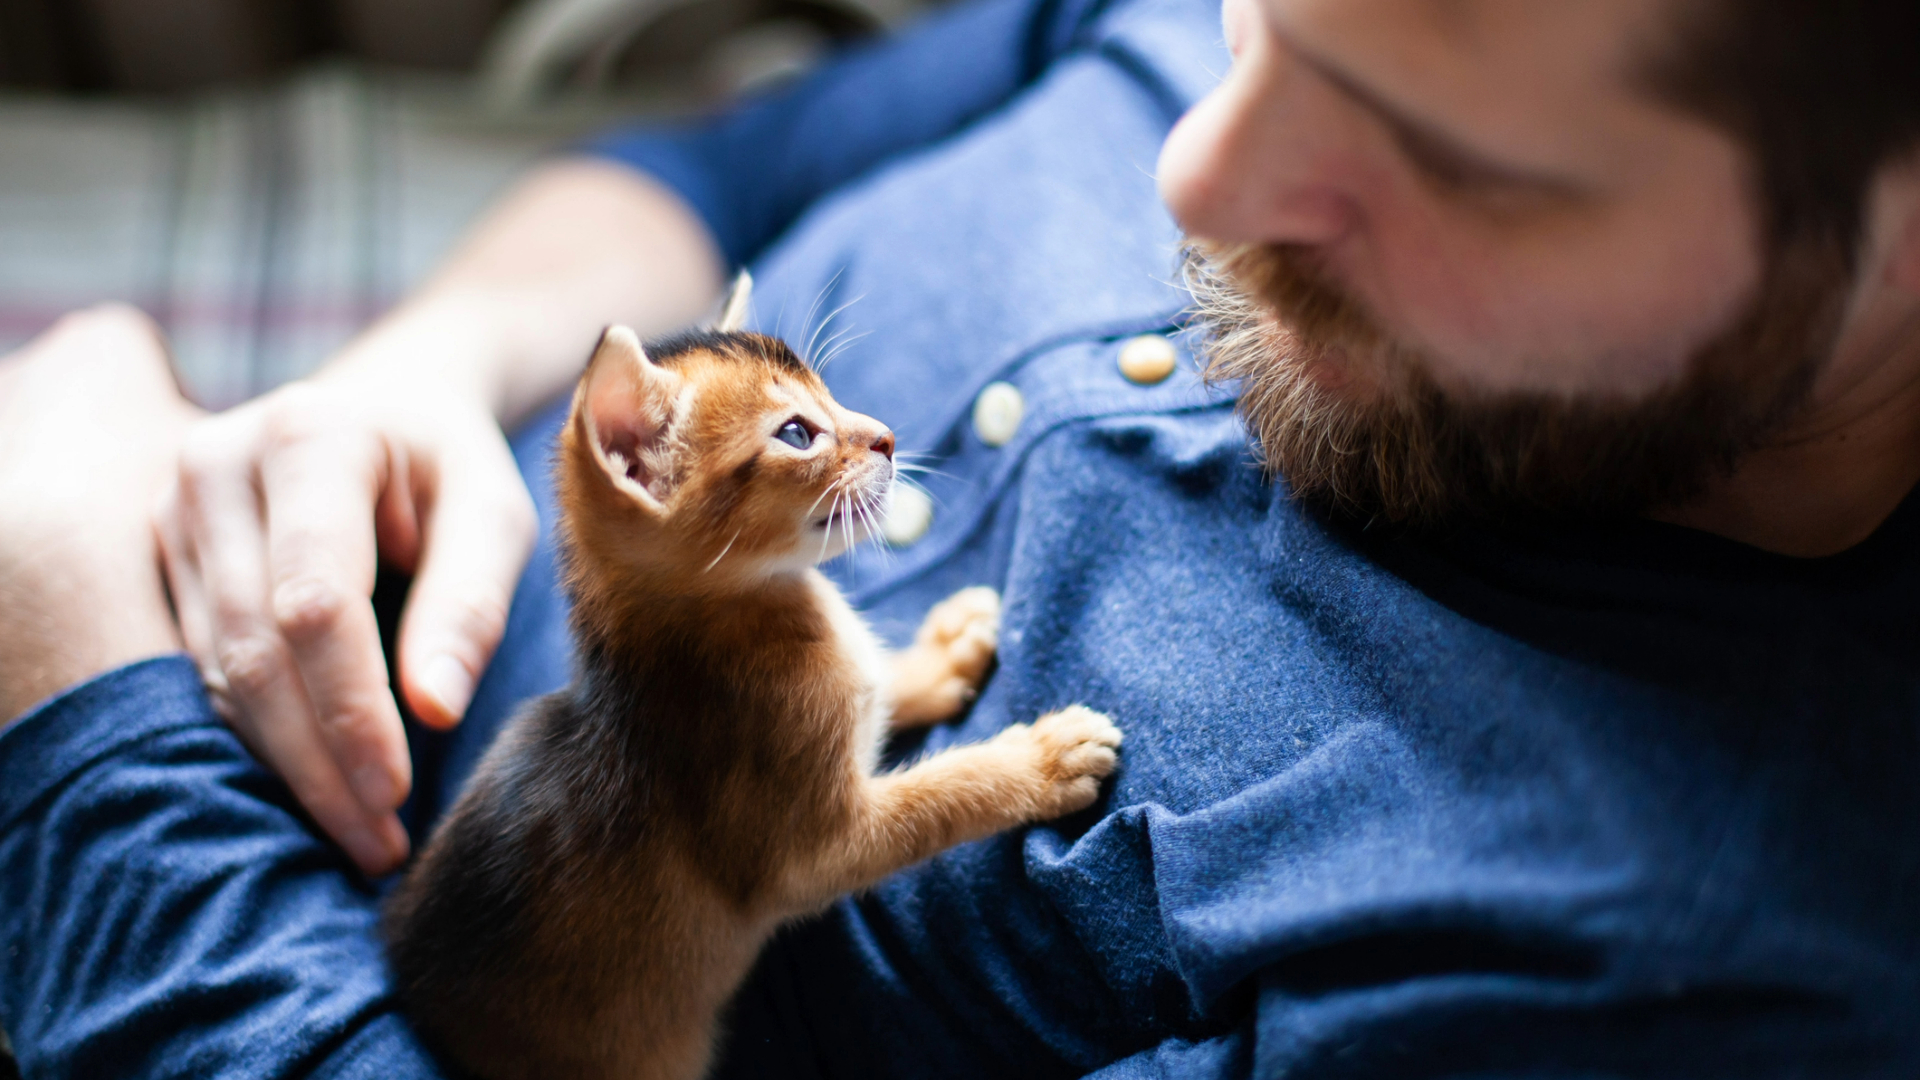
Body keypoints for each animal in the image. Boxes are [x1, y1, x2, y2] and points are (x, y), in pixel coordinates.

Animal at [380, 276, 1121, 1076]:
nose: (888, 436)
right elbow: (941, 796)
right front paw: (1042, 759)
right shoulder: (813, 852)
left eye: (830, 395)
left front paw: (942, 651)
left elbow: (878, 682)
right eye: (797, 434)